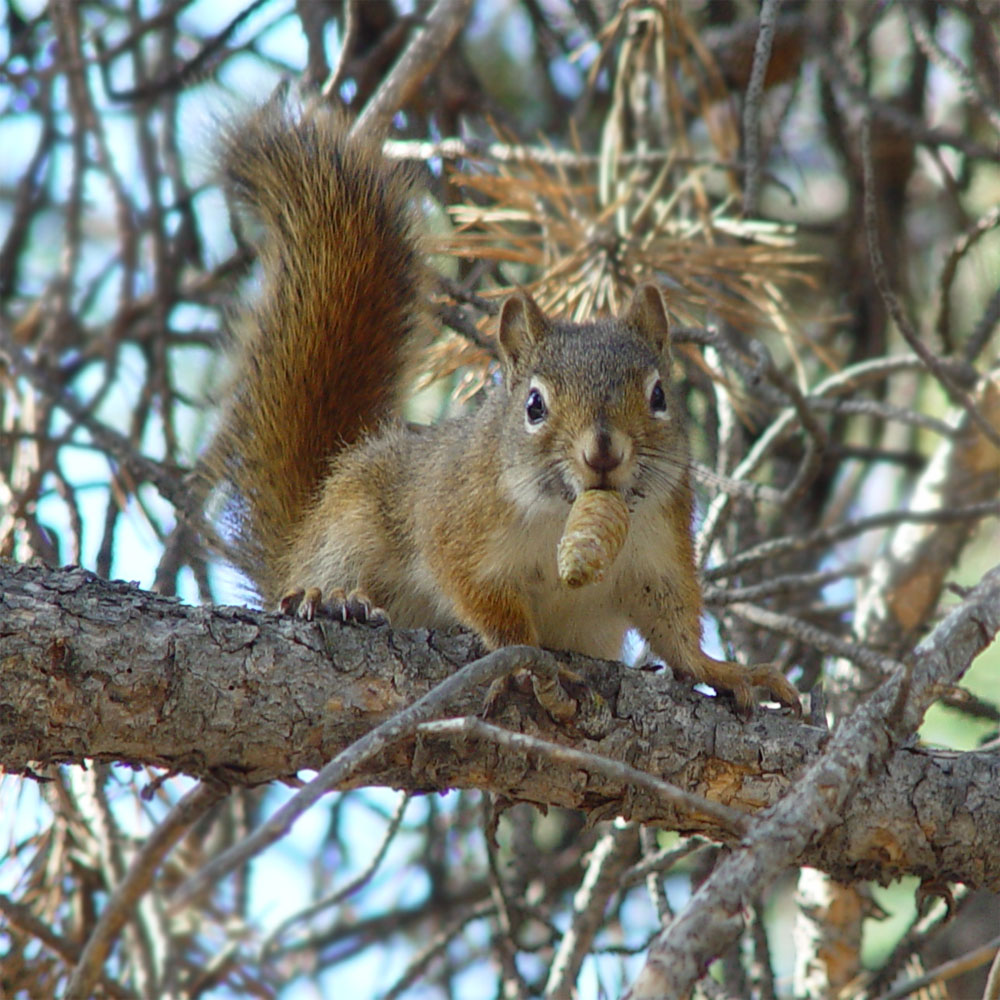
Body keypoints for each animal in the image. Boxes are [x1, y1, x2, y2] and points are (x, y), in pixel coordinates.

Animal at [207, 101, 800, 716]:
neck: (561, 514)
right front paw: (528, 663)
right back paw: (331, 596)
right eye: (534, 404)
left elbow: (675, 628)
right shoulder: (456, 527)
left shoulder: (656, 553)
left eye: (658, 396)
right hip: (350, 527)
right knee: (324, 572)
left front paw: (726, 671)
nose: (603, 451)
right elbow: (488, 604)